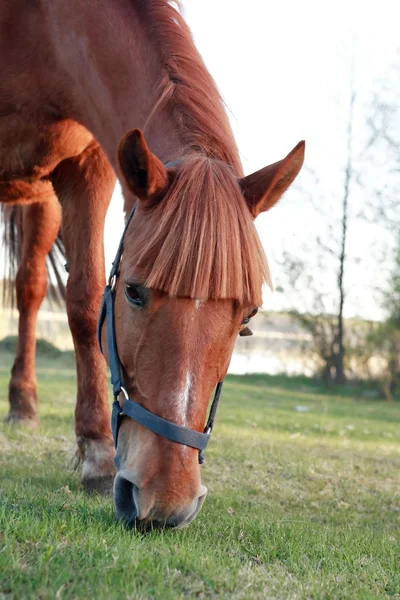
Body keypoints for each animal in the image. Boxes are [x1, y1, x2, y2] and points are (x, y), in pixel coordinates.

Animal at [0, 0, 304, 528]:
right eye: (134, 292)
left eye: (247, 316)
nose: (166, 502)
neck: (42, 28)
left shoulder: (88, 167)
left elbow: (83, 300)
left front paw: (96, 454)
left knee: (30, 287)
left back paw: (23, 403)